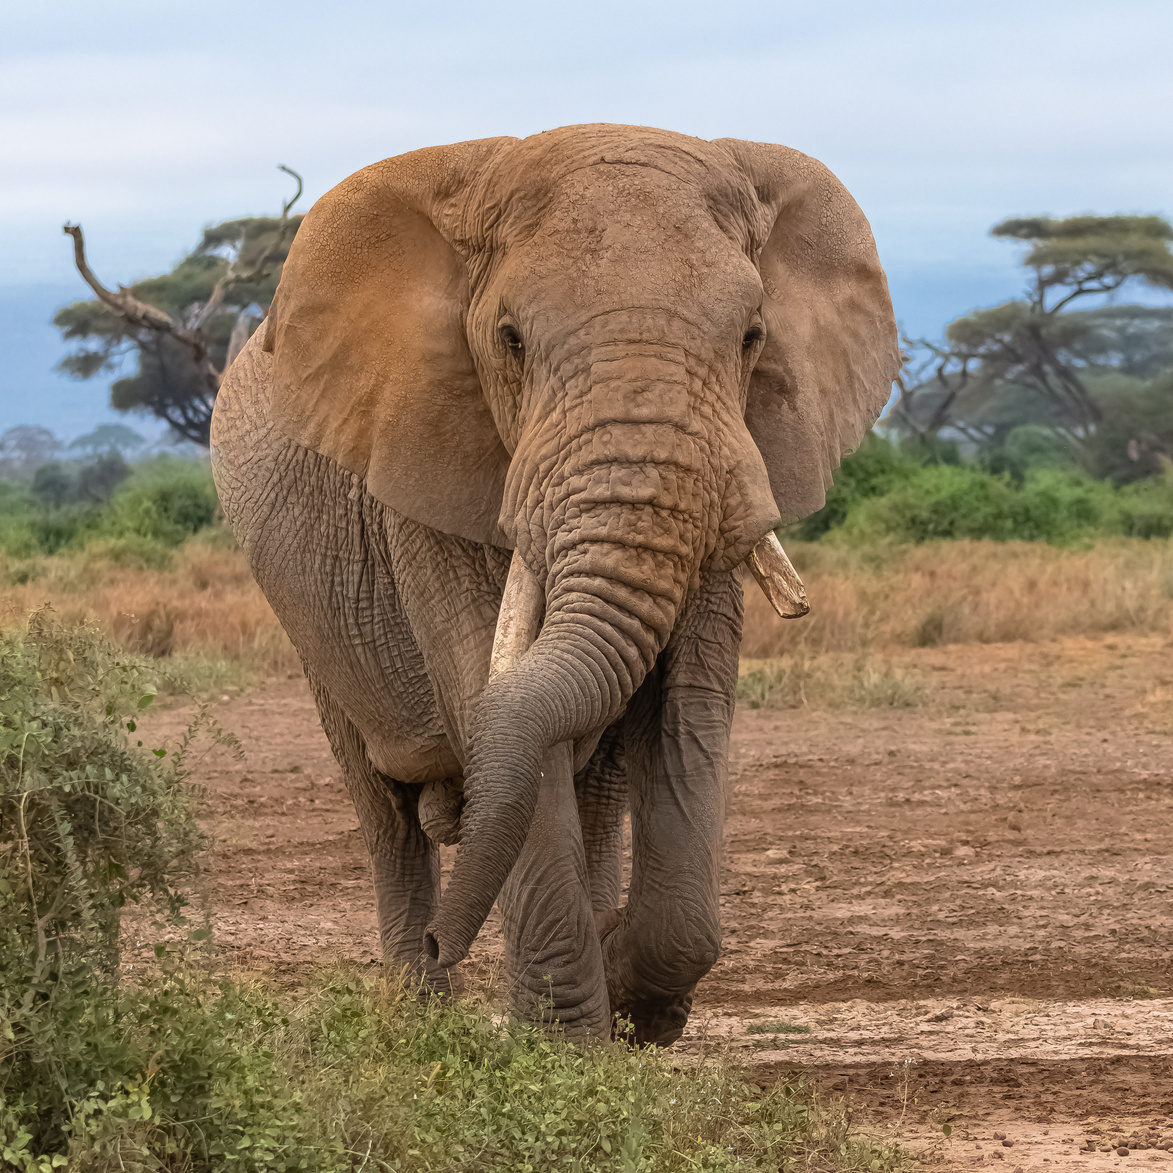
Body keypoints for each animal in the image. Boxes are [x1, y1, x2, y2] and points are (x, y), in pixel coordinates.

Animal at [210, 123, 898, 1045]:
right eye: (510, 339)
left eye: (753, 335)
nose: (447, 940)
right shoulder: (425, 468)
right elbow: (483, 687)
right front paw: (561, 1044)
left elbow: (686, 712)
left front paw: (626, 994)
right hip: (304, 609)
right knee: (385, 807)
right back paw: (418, 1017)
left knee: (595, 787)